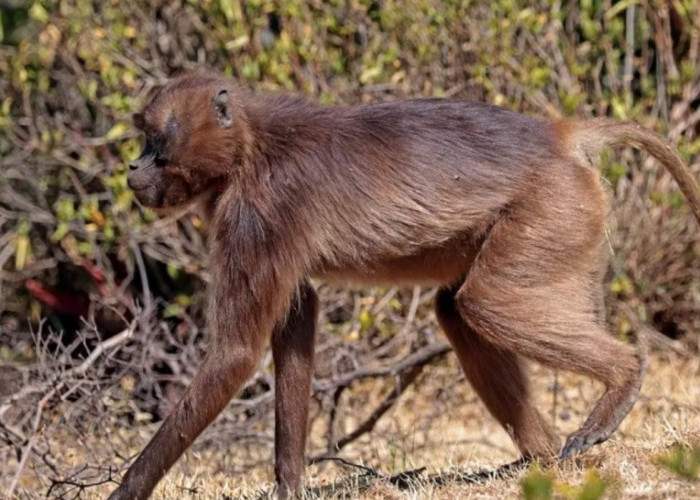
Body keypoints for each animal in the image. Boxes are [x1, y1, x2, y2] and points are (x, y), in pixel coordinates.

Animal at [109, 71, 700, 500]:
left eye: (155, 137)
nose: (132, 166)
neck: (249, 145)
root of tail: (560, 135)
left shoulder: (257, 215)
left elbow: (234, 354)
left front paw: (126, 490)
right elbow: (296, 322)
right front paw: (290, 484)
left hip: (552, 209)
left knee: (487, 304)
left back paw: (622, 380)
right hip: (563, 217)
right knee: (458, 310)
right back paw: (545, 459)